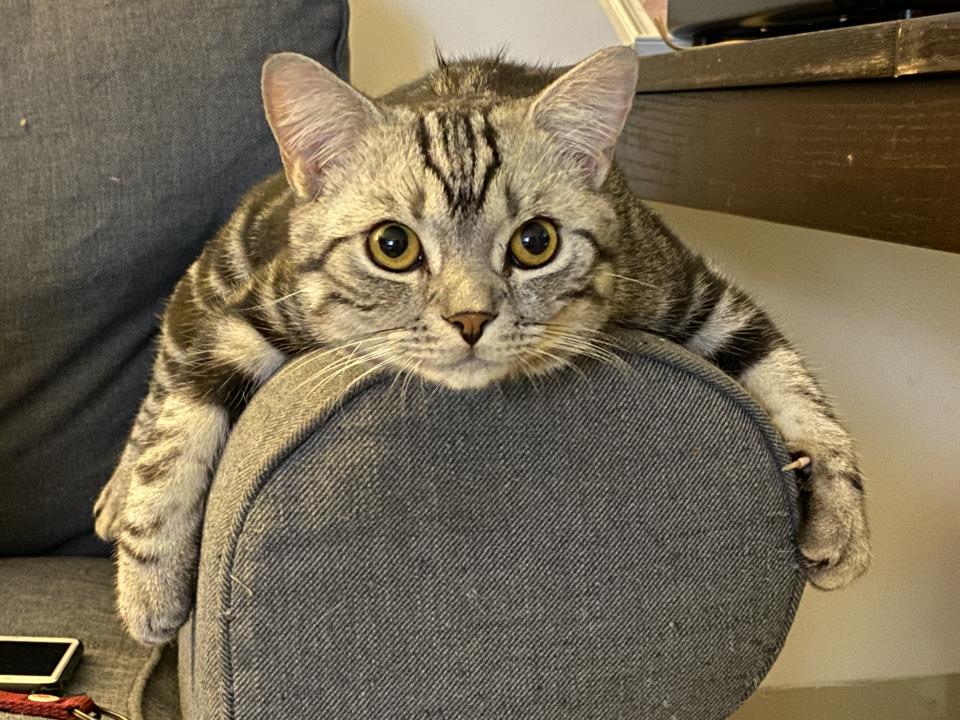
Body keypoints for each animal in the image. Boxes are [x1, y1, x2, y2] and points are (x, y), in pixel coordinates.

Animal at [95, 47, 872, 644]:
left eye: (536, 243)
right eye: (392, 246)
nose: (471, 318)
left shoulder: (686, 287)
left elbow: (788, 374)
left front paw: (844, 519)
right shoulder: (252, 312)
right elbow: (178, 431)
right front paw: (150, 582)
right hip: (206, 283)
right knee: (164, 374)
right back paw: (115, 495)